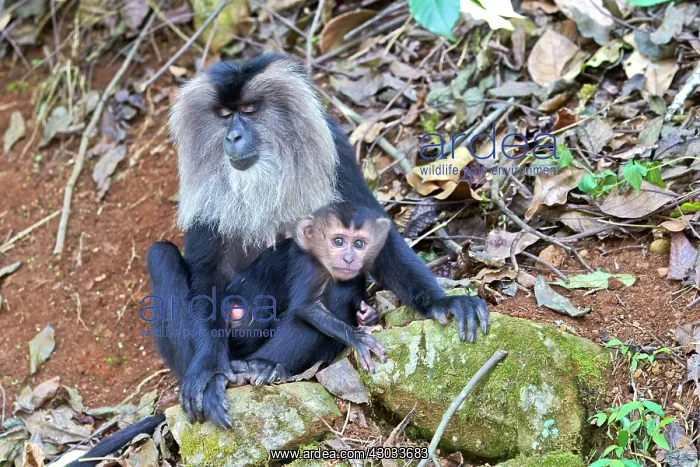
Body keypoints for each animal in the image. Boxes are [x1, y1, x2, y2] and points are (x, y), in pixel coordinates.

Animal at [227, 203, 391, 386]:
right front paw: (357, 337)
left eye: (359, 244)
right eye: (338, 241)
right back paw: (262, 366)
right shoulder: (308, 265)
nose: (349, 259)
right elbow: (306, 306)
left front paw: (367, 315)